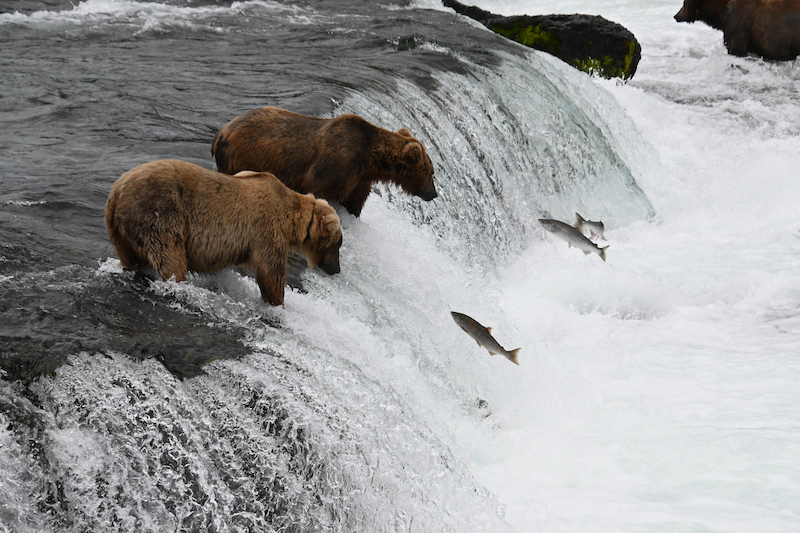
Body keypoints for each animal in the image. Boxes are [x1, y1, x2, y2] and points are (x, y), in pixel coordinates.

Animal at [104, 158, 342, 306]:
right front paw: (277, 302)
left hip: (122, 234)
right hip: (160, 213)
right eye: (338, 244)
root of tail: (116, 193)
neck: (291, 219)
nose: (336, 269)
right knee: (169, 255)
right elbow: (270, 271)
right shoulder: (267, 228)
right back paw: (177, 283)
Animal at [211, 106, 438, 216]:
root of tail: (221, 132)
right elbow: (317, 189)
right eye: (431, 171)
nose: (433, 194)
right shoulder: (336, 164)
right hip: (242, 157)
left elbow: (355, 202)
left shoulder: (359, 180)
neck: (369, 161)